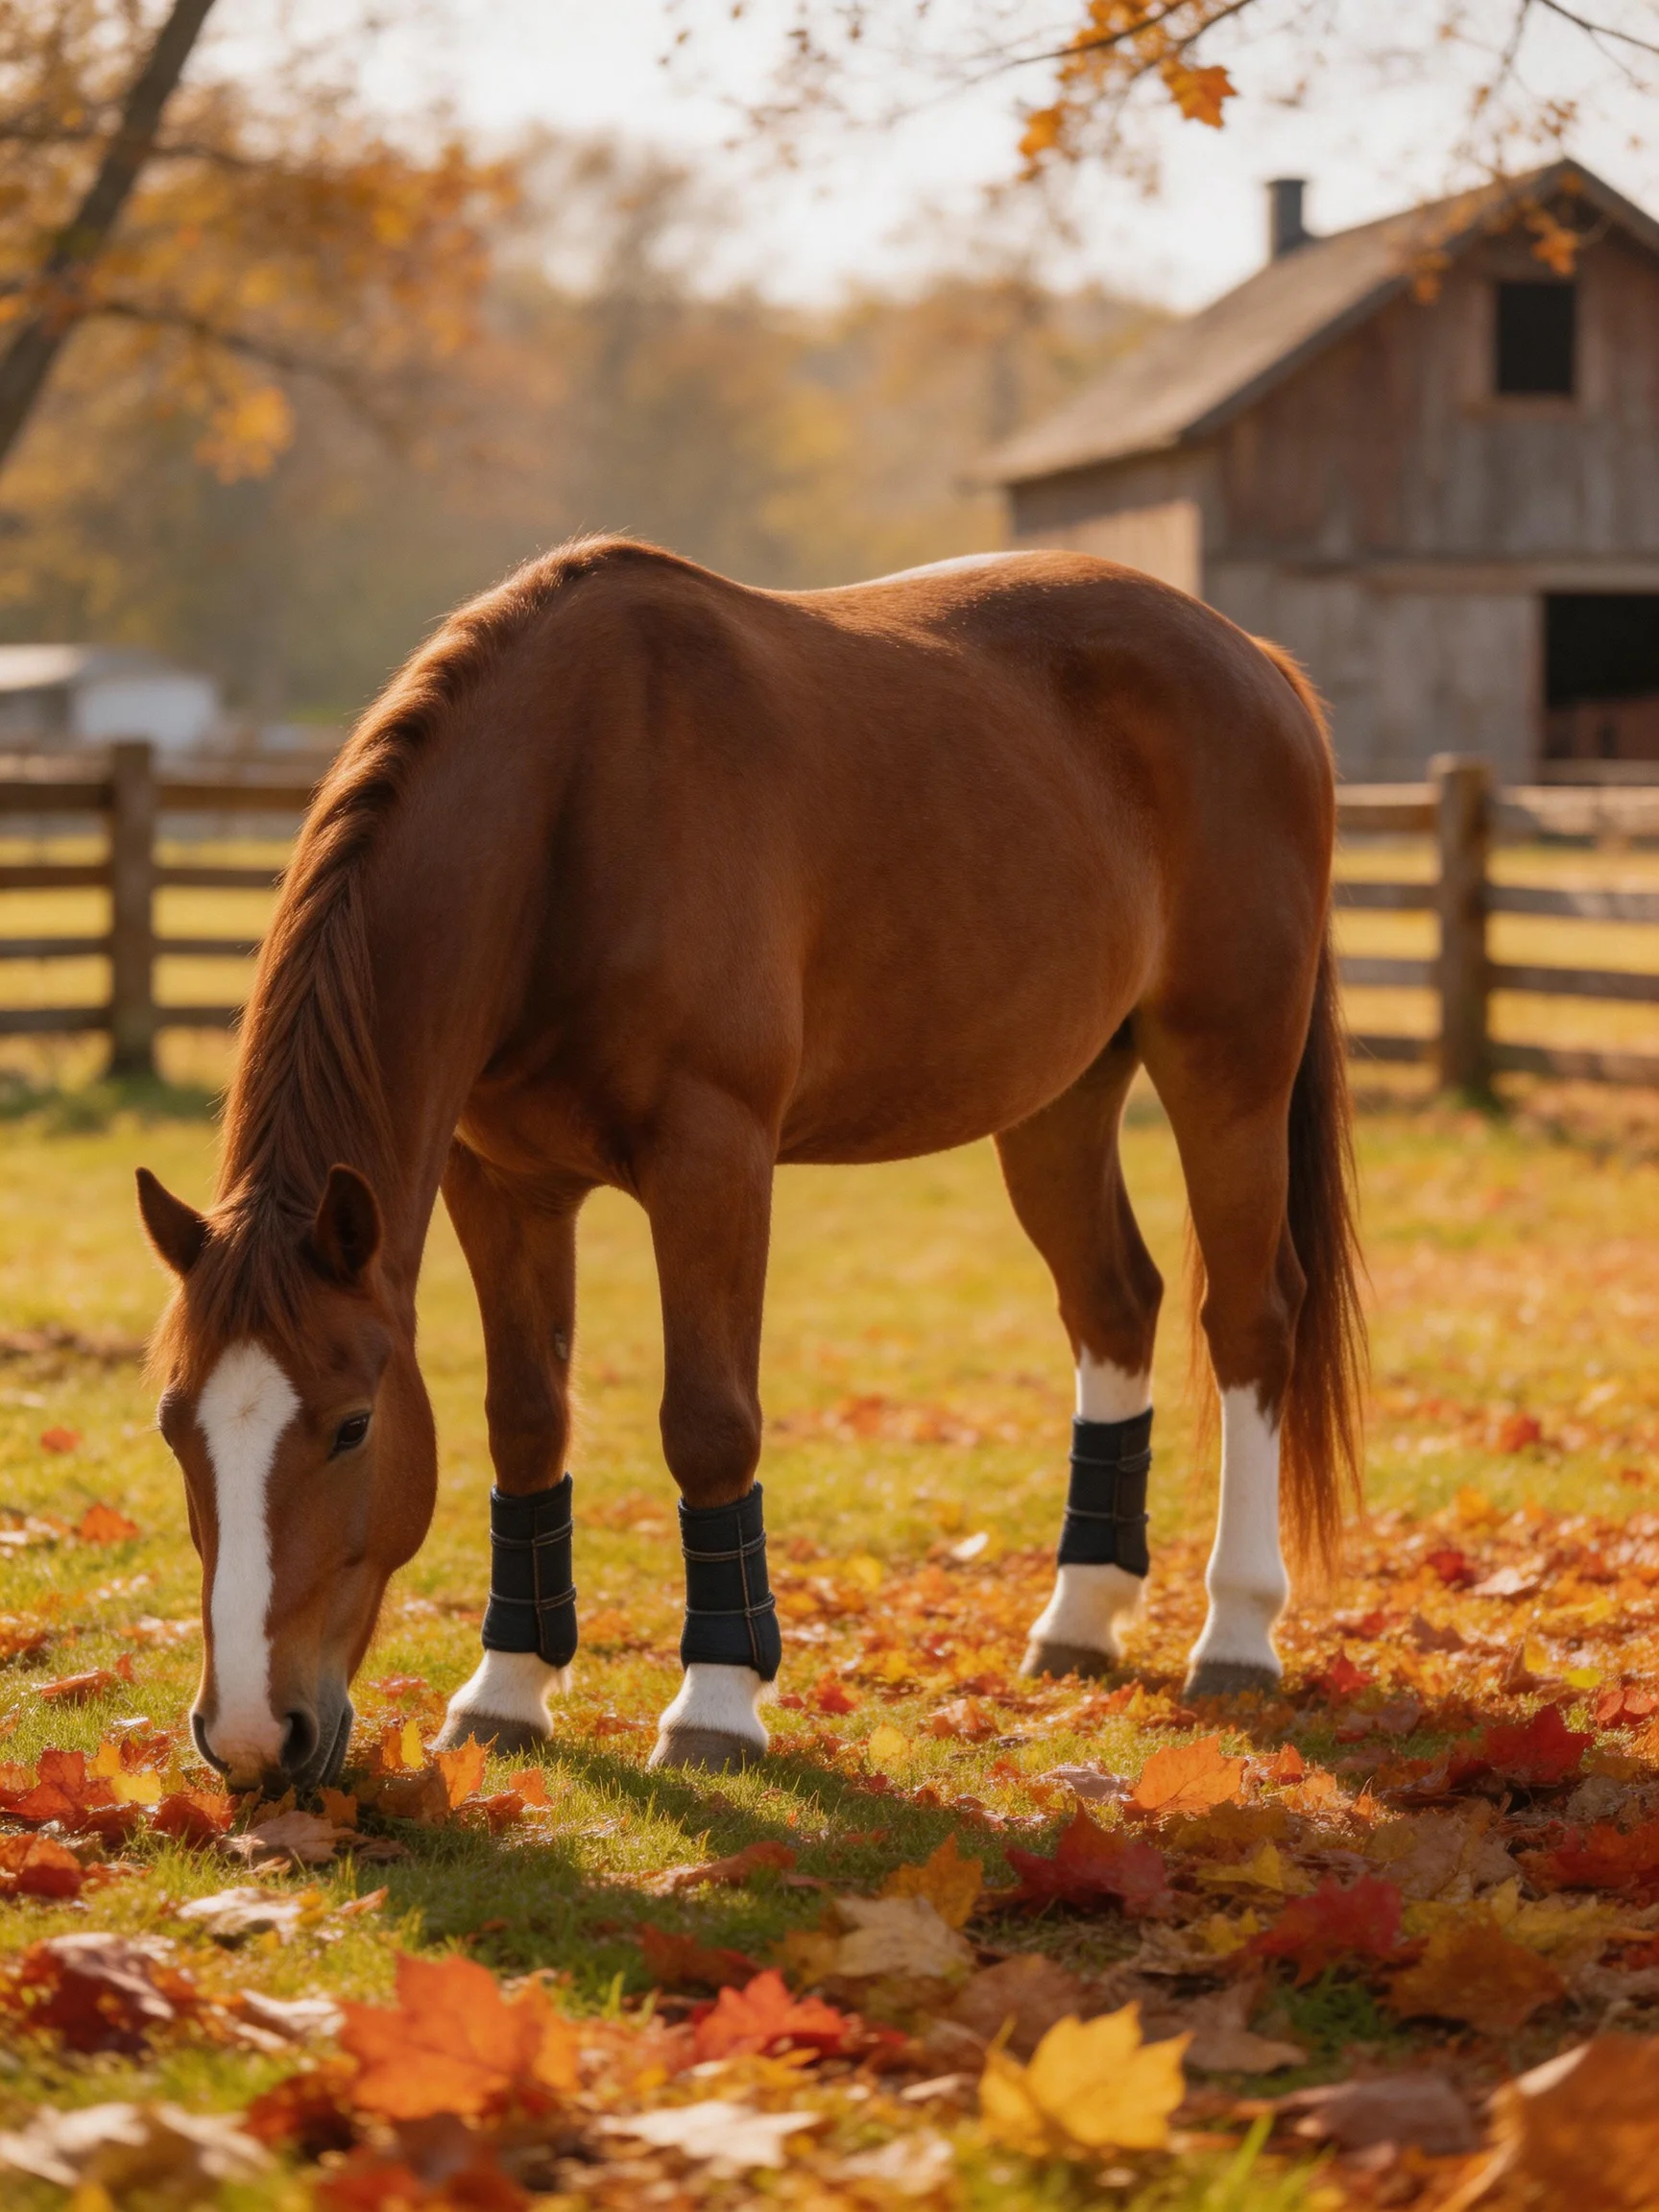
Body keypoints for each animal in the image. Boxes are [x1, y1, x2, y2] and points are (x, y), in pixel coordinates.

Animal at [137, 536, 1364, 1792]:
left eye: (351, 1427)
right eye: (175, 1425)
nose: (253, 1736)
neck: (571, 807)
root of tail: (1255, 663)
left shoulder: (712, 1158)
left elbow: (710, 1423)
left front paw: (717, 1704)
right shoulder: (504, 1185)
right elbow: (526, 1418)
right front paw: (508, 1690)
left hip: (1229, 1070)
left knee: (1252, 1322)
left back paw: (1236, 1633)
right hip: (1059, 1099)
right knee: (1114, 1307)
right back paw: (1080, 1619)